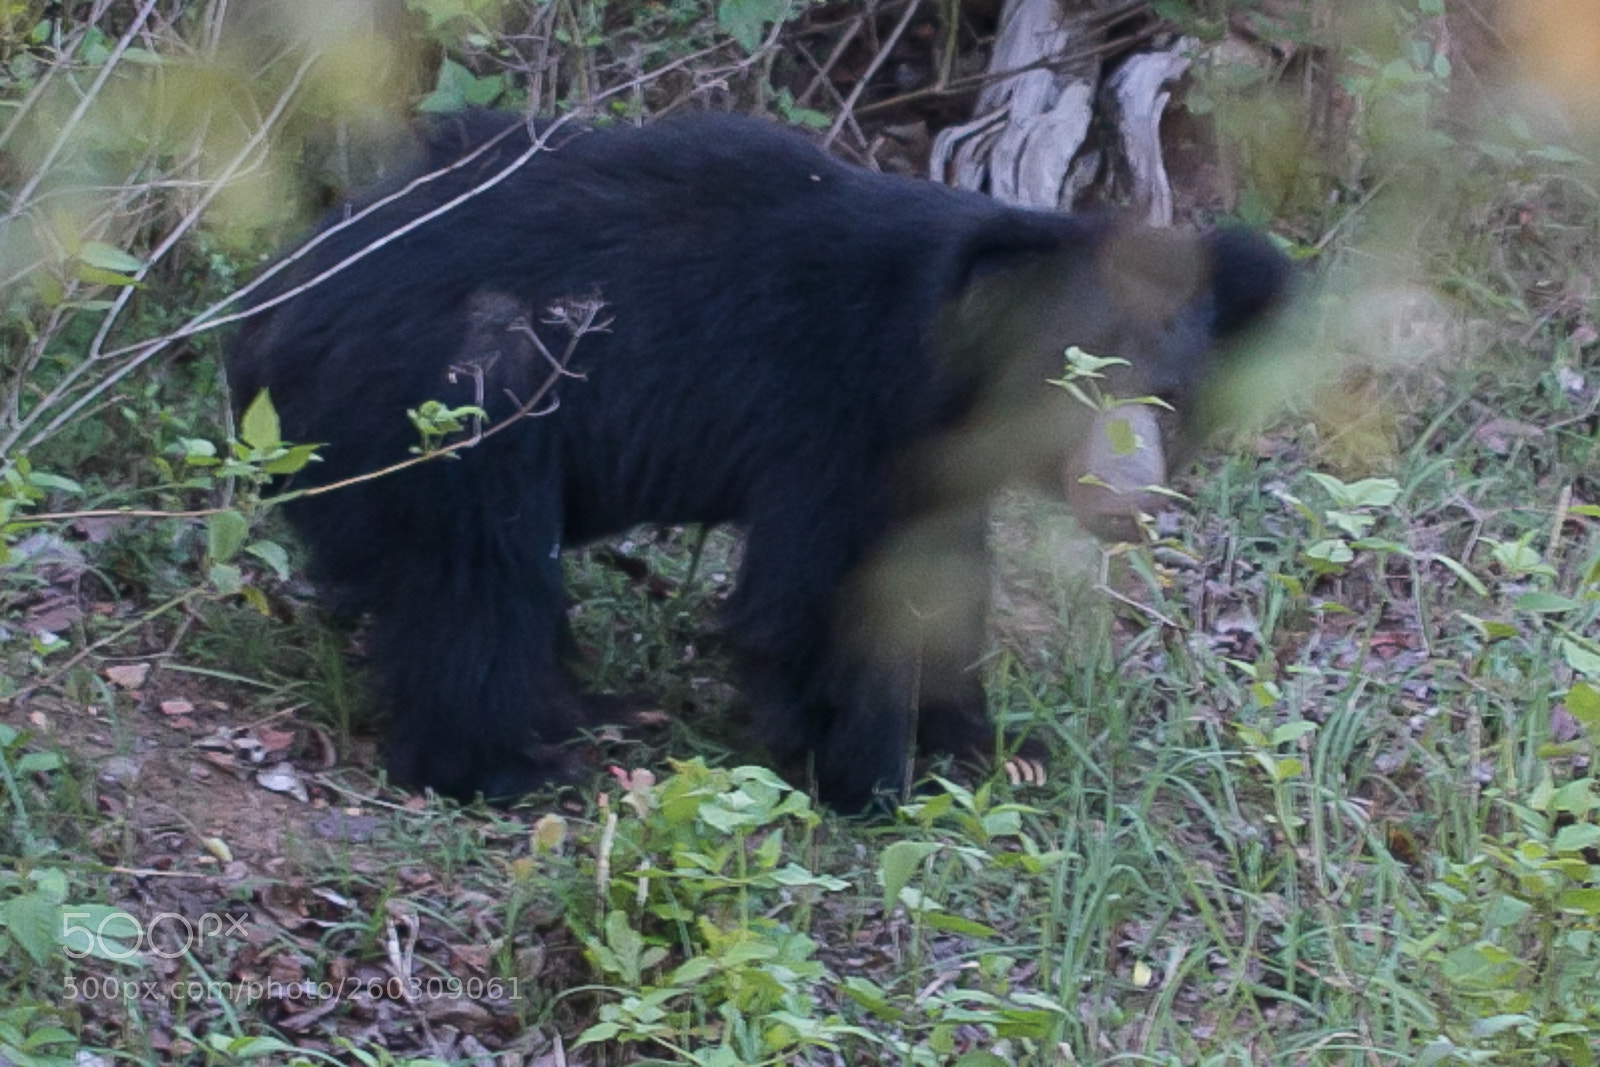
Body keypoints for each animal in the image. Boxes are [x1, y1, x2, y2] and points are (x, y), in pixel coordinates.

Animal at [228, 109, 1287, 809]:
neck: (940, 363)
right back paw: (508, 762)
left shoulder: (929, 461)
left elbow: (941, 577)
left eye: (1167, 396)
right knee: (475, 584)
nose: (1127, 501)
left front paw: (988, 743)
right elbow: (827, 592)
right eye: (1072, 387)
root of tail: (273, 313)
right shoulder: (839, 416)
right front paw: (869, 778)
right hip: (463, 391)